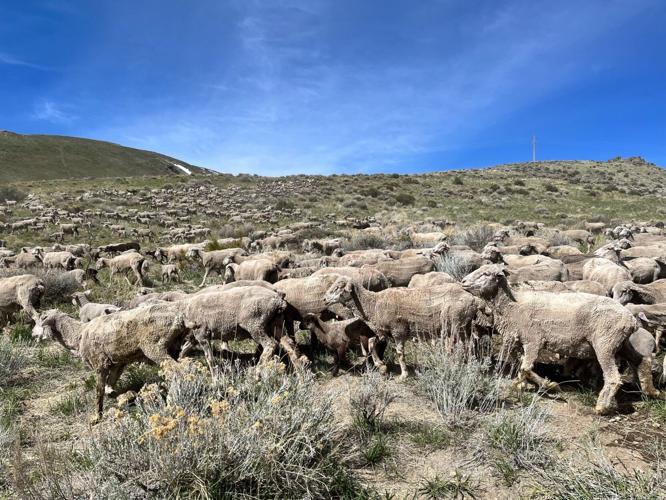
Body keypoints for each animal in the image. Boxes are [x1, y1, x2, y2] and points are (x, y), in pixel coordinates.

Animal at [33, 303, 195, 419]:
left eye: (41, 318)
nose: (32, 334)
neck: (79, 334)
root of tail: (180, 319)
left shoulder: (99, 364)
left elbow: (99, 390)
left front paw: (97, 417)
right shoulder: (117, 364)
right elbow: (109, 388)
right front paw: (126, 397)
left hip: (154, 346)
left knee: (178, 370)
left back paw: (174, 398)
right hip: (174, 347)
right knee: (181, 367)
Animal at [460, 264, 647, 414]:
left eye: (486, 274)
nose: (463, 281)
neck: (513, 305)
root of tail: (630, 319)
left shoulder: (533, 339)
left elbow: (526, 368)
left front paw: (551, 386)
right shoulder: (523, 340)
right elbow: (522, 365)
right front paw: (520, 384)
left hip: (605, 344)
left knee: (613, 378)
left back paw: (602, 406)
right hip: (621, 344)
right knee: (641, 361)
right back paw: (649, 391)